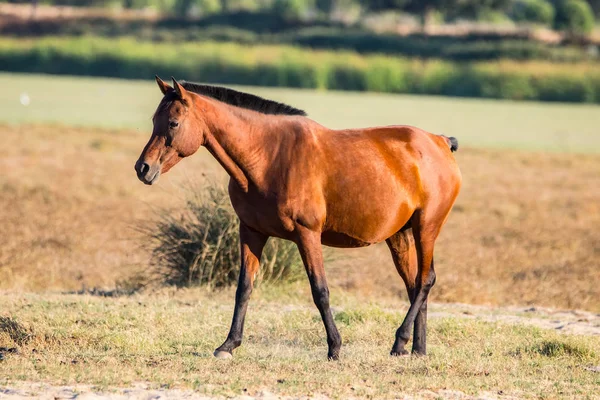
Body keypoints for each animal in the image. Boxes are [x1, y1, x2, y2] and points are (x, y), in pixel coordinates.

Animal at [136, 76, 462, 360]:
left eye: (174, 123)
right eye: (154, 121)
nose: (143, 168)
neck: (268, 156)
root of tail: (440, 142)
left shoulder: (307, 235)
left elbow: (320, 291)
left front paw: (334, 348)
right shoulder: (251, 232)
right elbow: (244, 288)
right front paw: (228, 345)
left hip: (426, 228)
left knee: (425, 281)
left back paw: (400, 342)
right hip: (400, 236)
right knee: (414, 284)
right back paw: (417, 349)